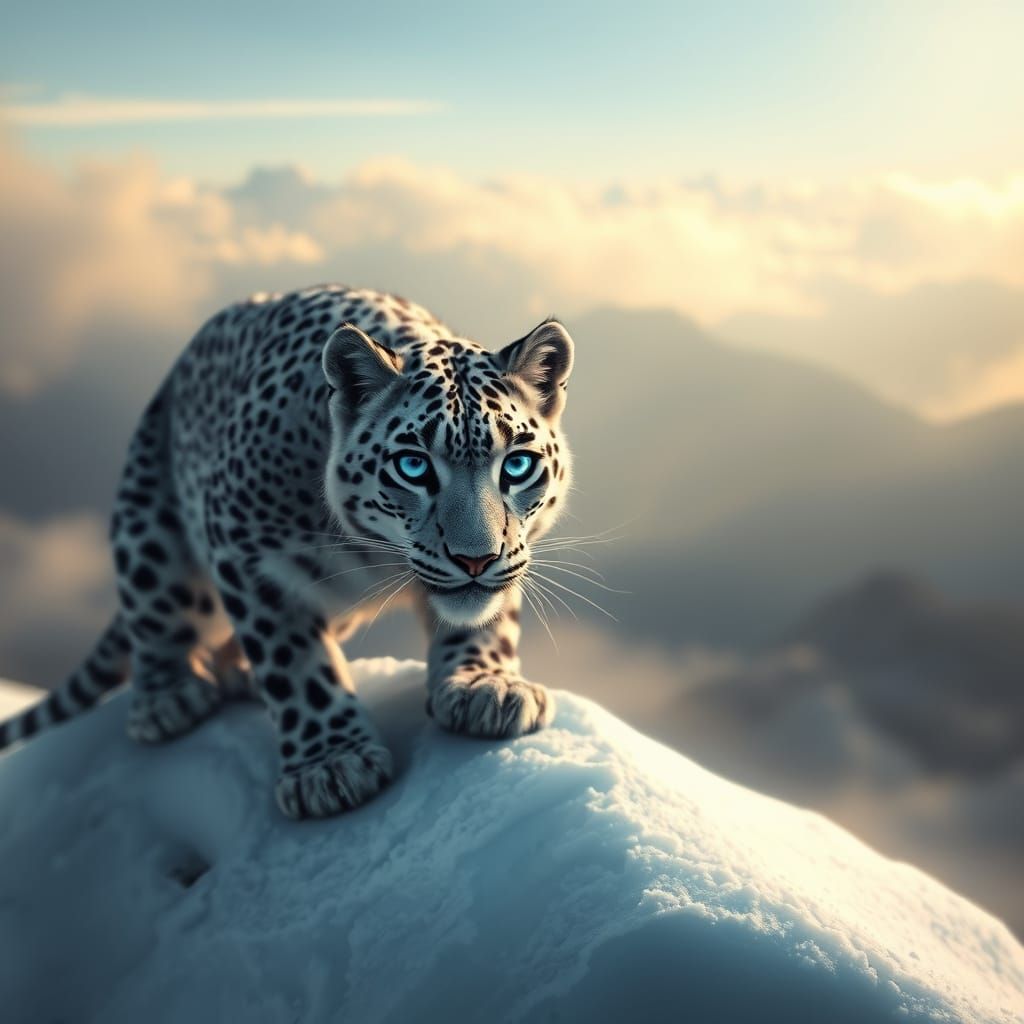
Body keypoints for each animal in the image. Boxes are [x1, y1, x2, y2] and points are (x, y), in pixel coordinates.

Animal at [0, 285, 575, 819]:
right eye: (413, 466)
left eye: (517, 465)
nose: (476, 559)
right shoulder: (247, 551)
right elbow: (292, 659)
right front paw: (332, 764)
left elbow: (489, 619)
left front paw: (487, 688)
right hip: (149, 528)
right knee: (158, 618)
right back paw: (170, 700)